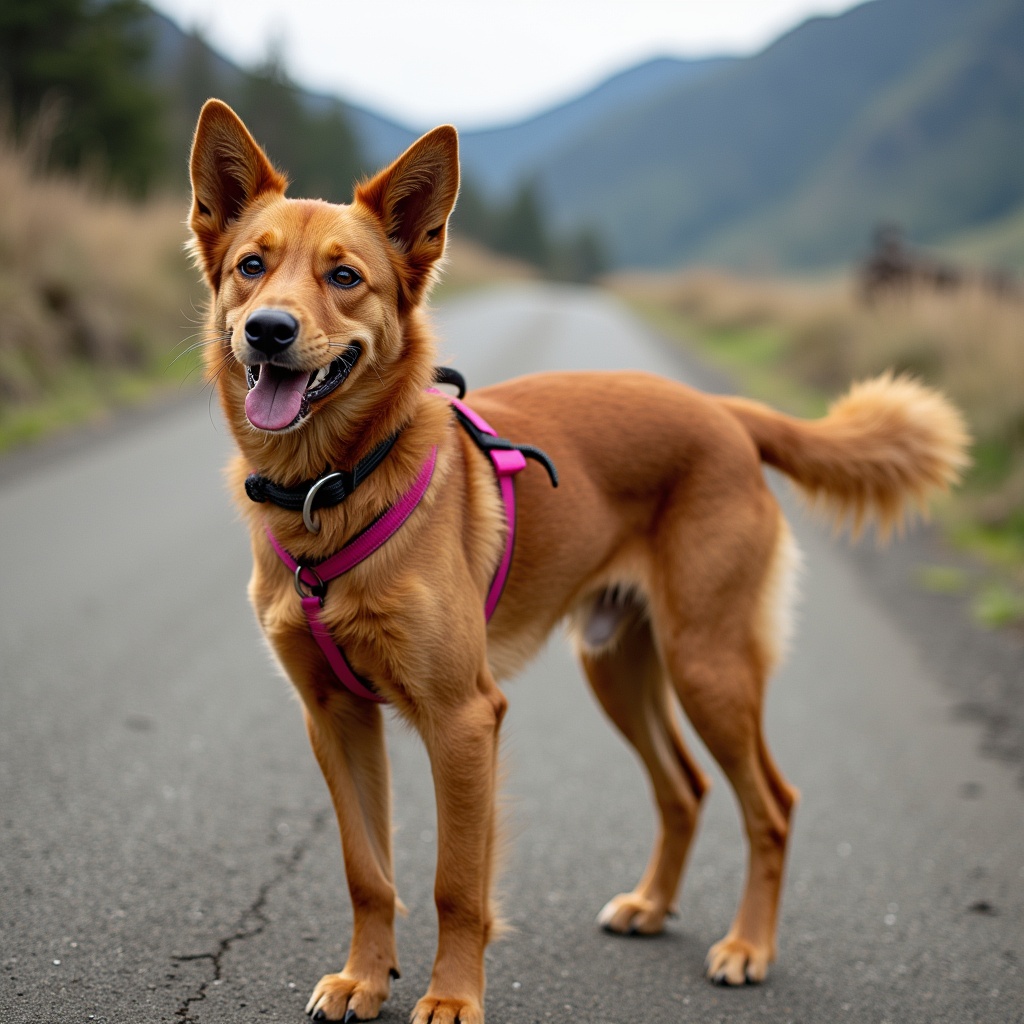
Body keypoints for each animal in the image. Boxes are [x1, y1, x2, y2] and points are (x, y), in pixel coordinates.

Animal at [190, 97, 966, 1024]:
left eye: (344, 278)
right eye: (251, 267)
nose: (268, 330)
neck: (333, 492)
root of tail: (723, 411)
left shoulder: (464, 719)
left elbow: (457, 884)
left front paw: (452, 997)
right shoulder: (334, 717)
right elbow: (366, 871)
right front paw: (364, 980)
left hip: (709, 665)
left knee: (771, 805)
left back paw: (748, 947)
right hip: (619, 665)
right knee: (685, 789)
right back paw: (651, 905)